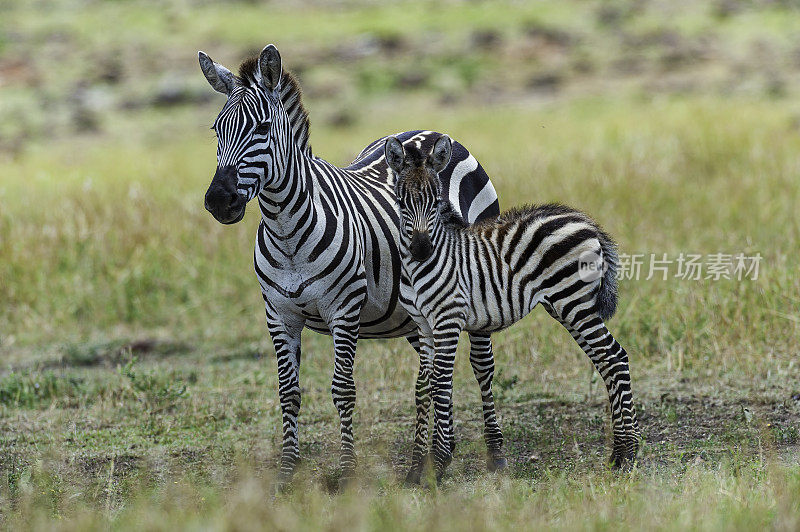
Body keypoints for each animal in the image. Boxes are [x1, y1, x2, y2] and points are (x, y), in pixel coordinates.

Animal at [197, 44, 504, 486]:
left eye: (263, 128)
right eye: (216, 130)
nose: (219, 200)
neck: (287, 231)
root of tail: (429, 132)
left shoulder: (344, 310)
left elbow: (343, 390)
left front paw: (345, 472)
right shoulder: (279, 315)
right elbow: (288, 392)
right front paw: (287, 472)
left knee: (482, 366)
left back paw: (494, 452)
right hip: (412, 313)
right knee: (430, 376)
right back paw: (430, 457)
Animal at [388, 135, 644, 480]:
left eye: (437, 201)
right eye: (402, 203)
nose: (420, 249)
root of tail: (585, 221)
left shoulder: (448, 318)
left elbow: (441, 380)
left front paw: (437, 465)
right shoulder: (424, 324)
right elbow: (423, 386)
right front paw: (416, 469)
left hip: (573, 302)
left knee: (614, 358)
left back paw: (627, 455)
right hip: (569, 307)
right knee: (606, 360)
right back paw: (620, 452)